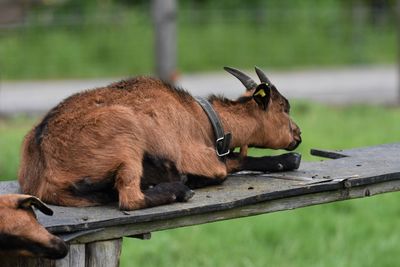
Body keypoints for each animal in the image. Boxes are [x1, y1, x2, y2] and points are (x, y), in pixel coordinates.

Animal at [18, 67, 300, 211]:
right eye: (284, 107)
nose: (298, 134)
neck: (201, 116)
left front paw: (287, 160)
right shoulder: (201, 158)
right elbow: (228, 166)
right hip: (126, 131)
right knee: (130, 199)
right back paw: (179, 189)